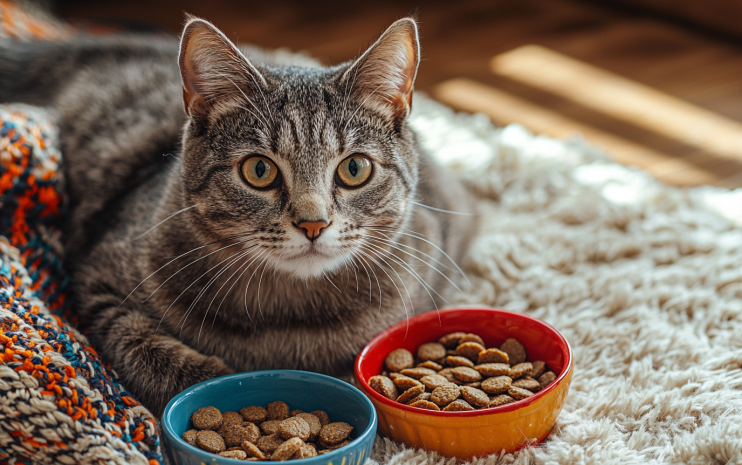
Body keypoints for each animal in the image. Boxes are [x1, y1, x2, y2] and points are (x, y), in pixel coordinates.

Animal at [0, 14, 476, 414]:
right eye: (259, 170)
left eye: (354, 169)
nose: (313, 223)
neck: (287, 319)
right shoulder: (99, 282)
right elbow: (139, 344)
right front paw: (223, 382)